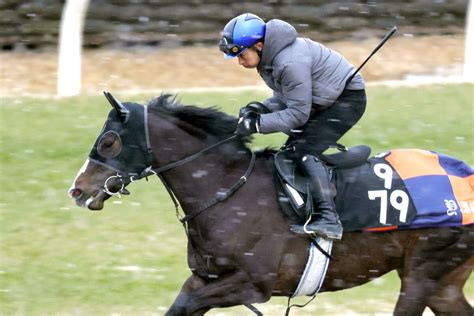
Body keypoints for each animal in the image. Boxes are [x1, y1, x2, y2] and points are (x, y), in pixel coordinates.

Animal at [68, 92, 472, 314]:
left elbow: (186, 304)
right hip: (444, 283)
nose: (77, 189)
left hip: (423, 271)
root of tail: (465, 177)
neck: (226, 188)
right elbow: (180, 305)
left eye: (108, 142)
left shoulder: (252, 284)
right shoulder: (203, 278)